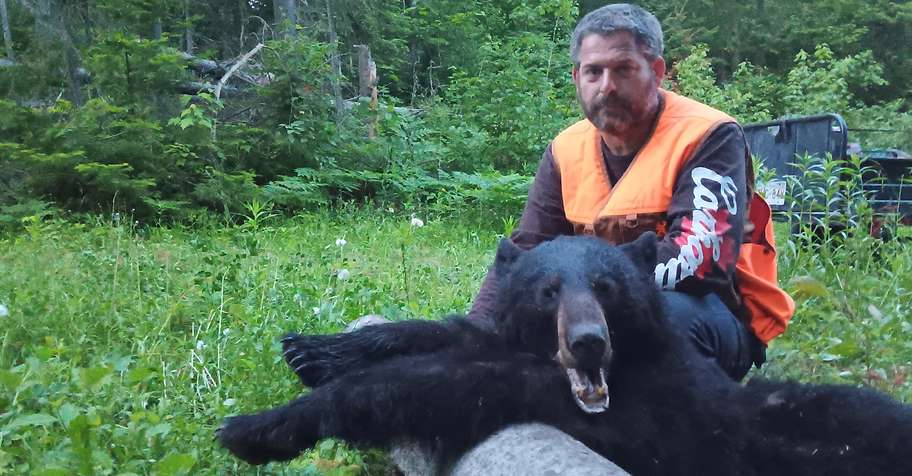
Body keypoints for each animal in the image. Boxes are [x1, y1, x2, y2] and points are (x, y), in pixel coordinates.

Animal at [217, 232, 912, 476]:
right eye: (548, 289)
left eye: (606, 286)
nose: (587, 341)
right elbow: (454, 334)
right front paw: (312, 350)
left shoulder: (648, 418)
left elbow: (447, 381)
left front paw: (259, 427)